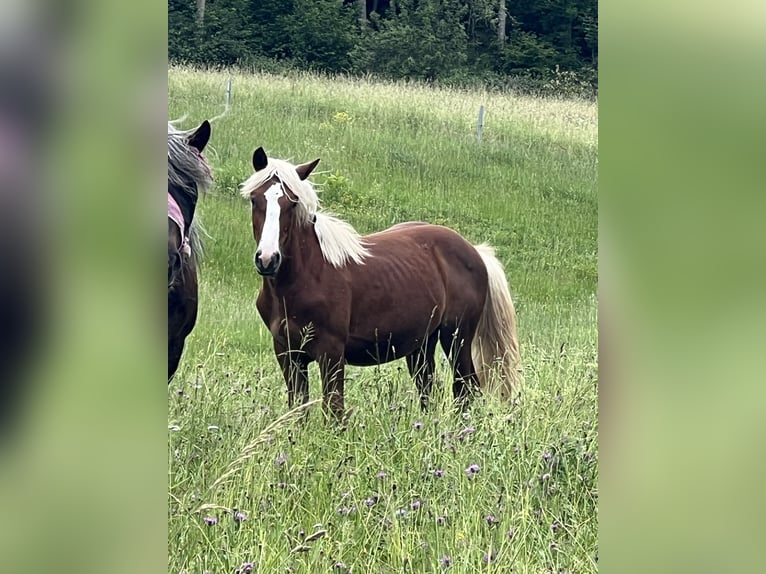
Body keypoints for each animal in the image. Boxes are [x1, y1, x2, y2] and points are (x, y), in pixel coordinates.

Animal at [240, 147, 521, 418]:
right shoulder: (287, 354)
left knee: (466, 388)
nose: (267, 259)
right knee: (428, 388)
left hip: (456, 338)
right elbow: (298, 409)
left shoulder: (331, 353)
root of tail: (474, 251)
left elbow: (334, 410)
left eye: (292, 203)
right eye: (255, 199)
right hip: (422, 345)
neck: (307, 278)